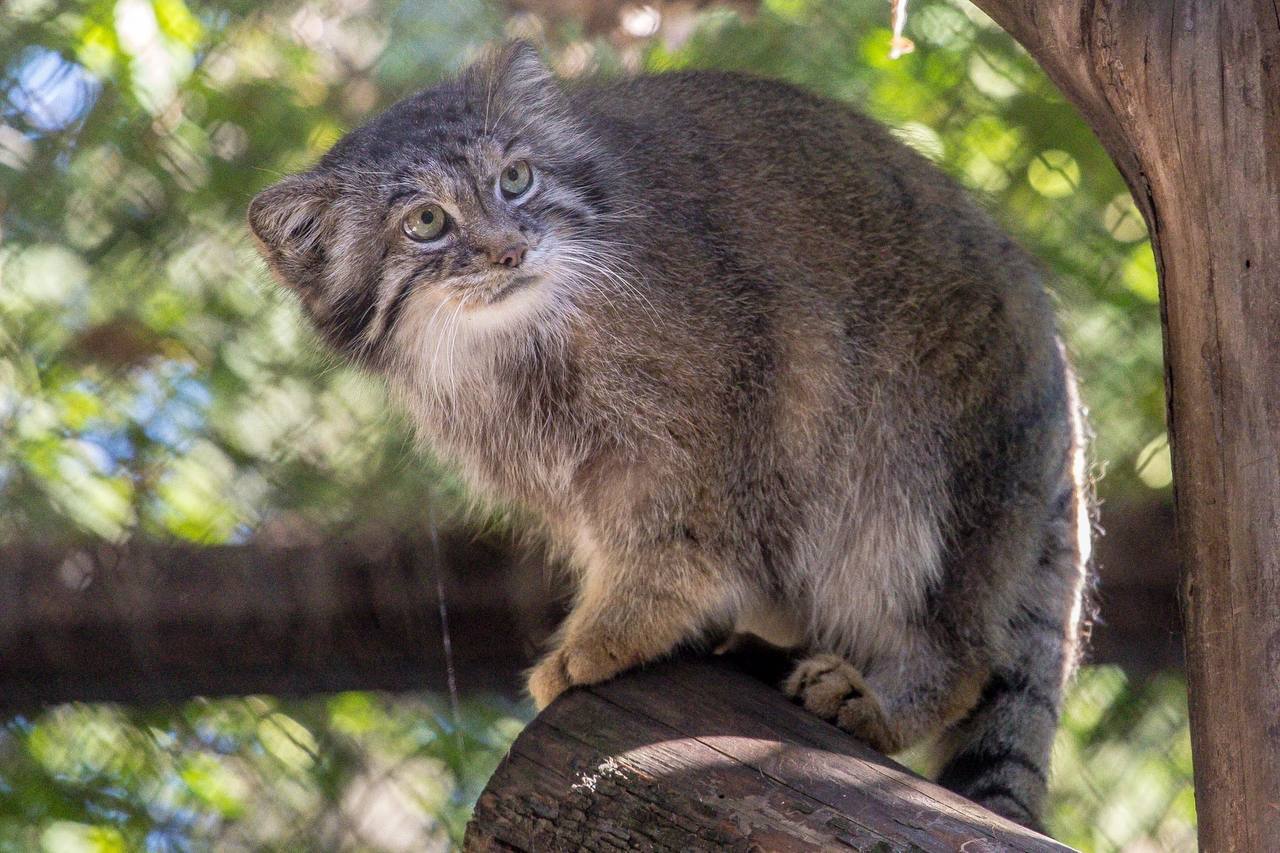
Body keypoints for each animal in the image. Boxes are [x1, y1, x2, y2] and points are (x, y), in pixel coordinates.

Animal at [249, 43, 1090, 824]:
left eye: (515, 179)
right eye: (425, 222)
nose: (510, 248)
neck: (514, 348)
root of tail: (1059, 368)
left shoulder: (731, 391)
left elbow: (679, 527)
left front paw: (615, 629)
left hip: (940, 453)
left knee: (959, 636)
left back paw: (887, 699)